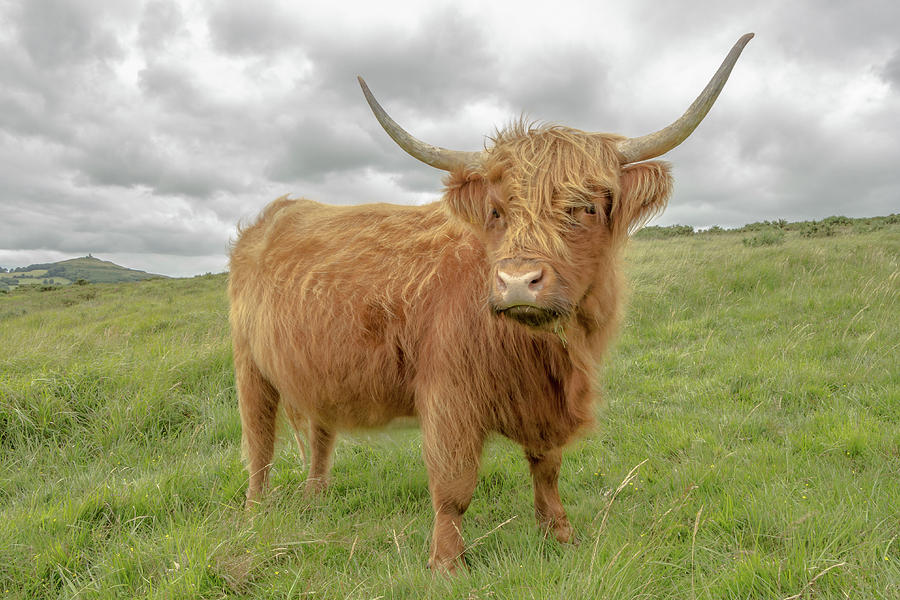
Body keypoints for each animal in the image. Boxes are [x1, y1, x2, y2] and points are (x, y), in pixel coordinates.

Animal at [229, 34, 756, 572]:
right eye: (497, 211)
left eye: (585, 207)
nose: (518, 282)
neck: (542, 354)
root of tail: (278, 213)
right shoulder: (448, 395)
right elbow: (453, 485)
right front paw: (445, 564)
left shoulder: (545, 405)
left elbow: (547, 469)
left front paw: (560, 535)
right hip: (249, 366)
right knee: (259, 445)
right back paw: (254, 515)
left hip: (314, 373)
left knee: (319, 434)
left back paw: (315, 498)